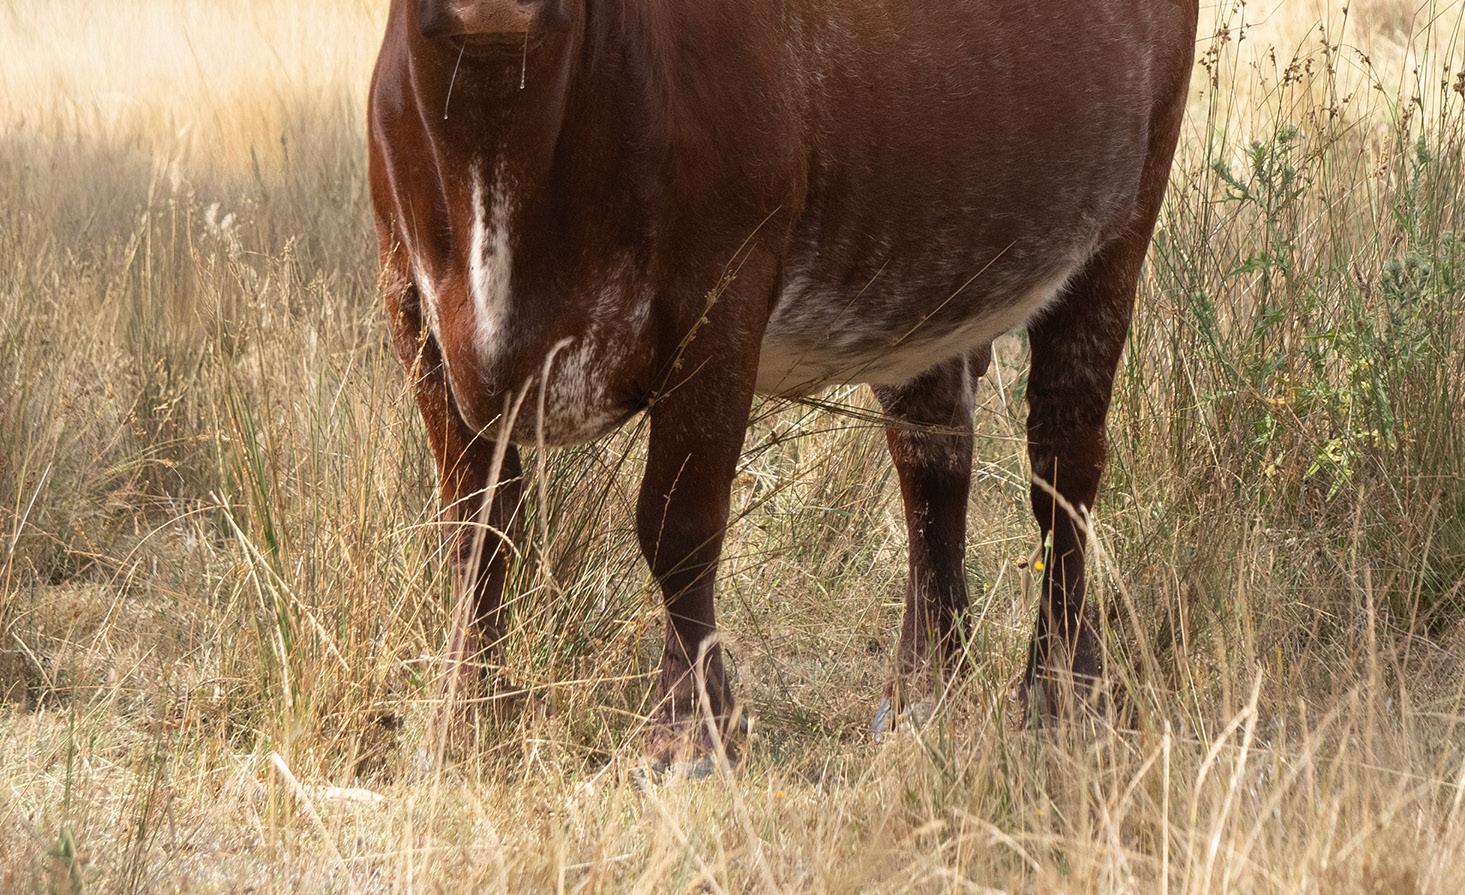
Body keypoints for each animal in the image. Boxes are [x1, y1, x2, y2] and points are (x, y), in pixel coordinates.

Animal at [368, 0, 1199, 773]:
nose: (492, 6)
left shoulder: (720, 297)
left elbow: (677, 526)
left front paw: (689, 734)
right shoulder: (413, 310)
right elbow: (476, 530)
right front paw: (465, 719)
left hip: (1118, 233)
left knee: (1063, 467)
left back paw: (1064, 692)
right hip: (924, 284)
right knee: (933, 465)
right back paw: (923, 692)